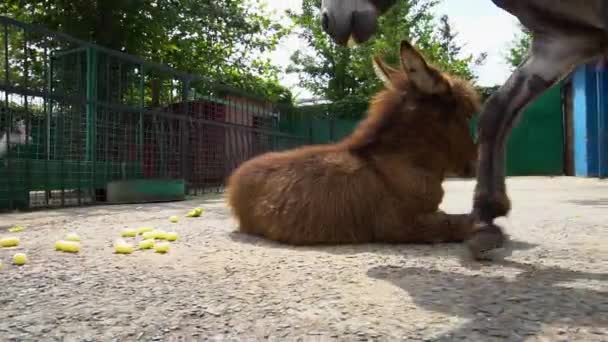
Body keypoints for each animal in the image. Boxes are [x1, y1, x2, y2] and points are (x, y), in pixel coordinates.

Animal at [227, 40, 480, 246]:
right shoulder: (399, 225)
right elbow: (459, 224)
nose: (475, 164)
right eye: (467, 114)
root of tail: (237, 176)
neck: (399, 163)